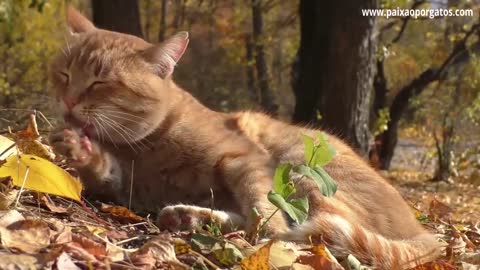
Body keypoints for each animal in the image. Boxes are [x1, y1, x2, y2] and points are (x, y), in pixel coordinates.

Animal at [49, 7, 442, 268]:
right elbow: (103, 170)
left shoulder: (244, 158)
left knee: (302, 232)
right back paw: (187, 217)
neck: (144, 147)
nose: (67, 101)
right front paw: (78, 149)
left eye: (100, 82)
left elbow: (262, 209)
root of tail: (423, 232)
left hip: (302, 167)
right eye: (64, 74)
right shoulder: (125, 184)